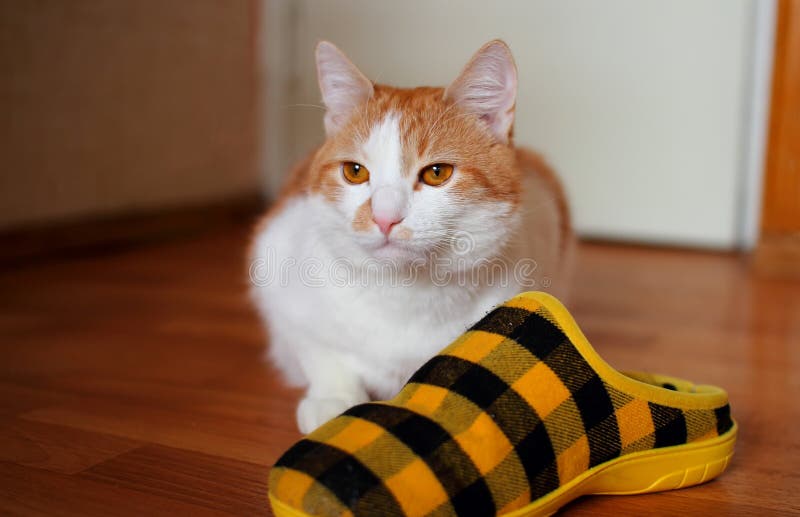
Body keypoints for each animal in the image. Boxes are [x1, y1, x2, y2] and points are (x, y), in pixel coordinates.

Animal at [250, 39, 576, 432]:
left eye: (437, 173)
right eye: (354, 172)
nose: (384, 217)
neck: (405, 295)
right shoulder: (278, 272)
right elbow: (320, 351)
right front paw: (334, 399)